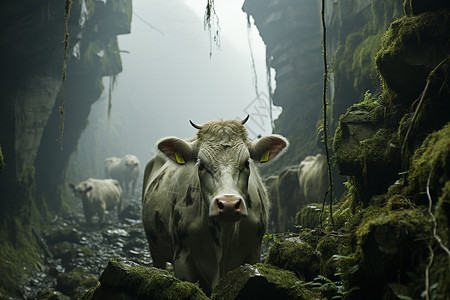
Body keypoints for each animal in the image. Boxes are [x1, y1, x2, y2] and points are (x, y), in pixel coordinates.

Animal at [142, 116, 288, 292]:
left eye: (247, 163)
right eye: (201, 165)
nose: (229, 204)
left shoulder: (254, 253)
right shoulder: (182, 258)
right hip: (155, 249)